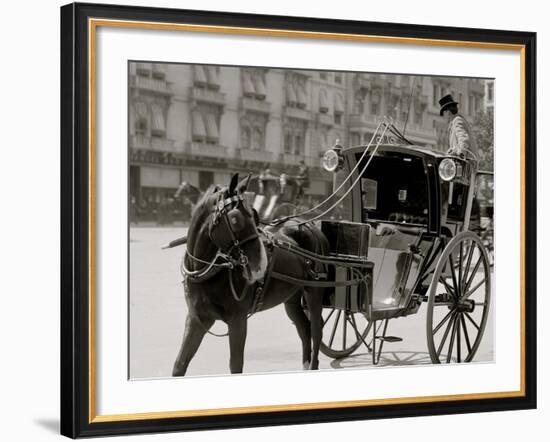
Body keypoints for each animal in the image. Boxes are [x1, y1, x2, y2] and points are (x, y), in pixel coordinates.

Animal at [172, 174, 330, 376]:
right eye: (235, 219)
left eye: (254, 215)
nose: (261, 263)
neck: (209, 271)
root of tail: (308, 225)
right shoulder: (197, 319)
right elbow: (179, 365)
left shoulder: (237, 320)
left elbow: (236, 365)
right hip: (292, 297)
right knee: (304, 328)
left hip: (314, 291)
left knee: (317, 329)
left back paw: (313, 364)